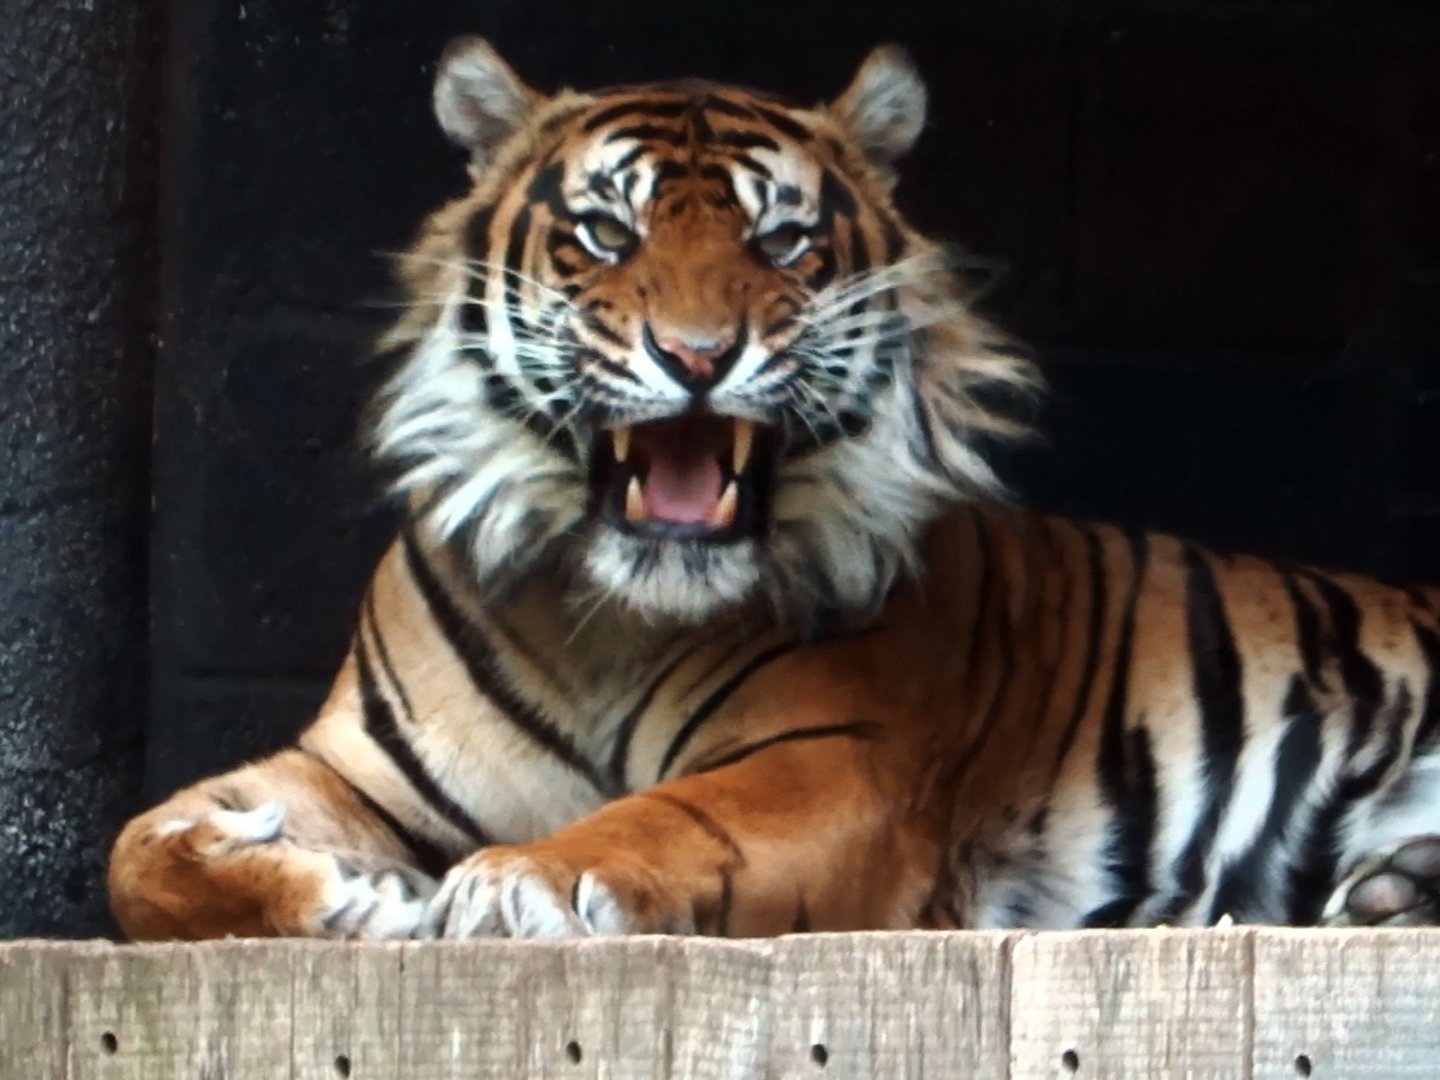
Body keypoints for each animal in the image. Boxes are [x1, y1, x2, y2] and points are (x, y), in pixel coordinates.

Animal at [109, 37, 1440, 942]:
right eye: (607, 233)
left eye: (782, 242)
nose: (698, 357)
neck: (606, 619)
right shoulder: (358, 769)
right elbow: (134, 850)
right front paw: (333, 894)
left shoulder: (840, 758)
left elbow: (670, 817)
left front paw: (525, 880)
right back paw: (1388, 896)